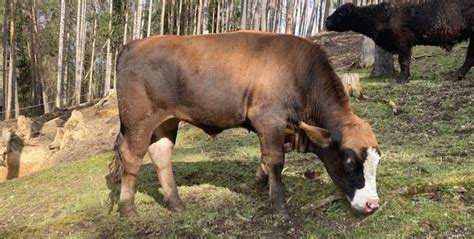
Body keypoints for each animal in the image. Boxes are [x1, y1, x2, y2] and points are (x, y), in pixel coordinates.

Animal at [107, 30, 382, 217]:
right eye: (350, 161)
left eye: (377, 160)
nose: (373, 204)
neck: (300, 73)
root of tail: (134, 44)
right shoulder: (269, 119)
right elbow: (276, 160)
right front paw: (279, 205)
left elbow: (268, 157)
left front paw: (260, 182)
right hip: (138, 121)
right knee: (131, 155)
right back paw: (127, 208)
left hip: (166, 122)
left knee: (161, 154)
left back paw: (176, 203)